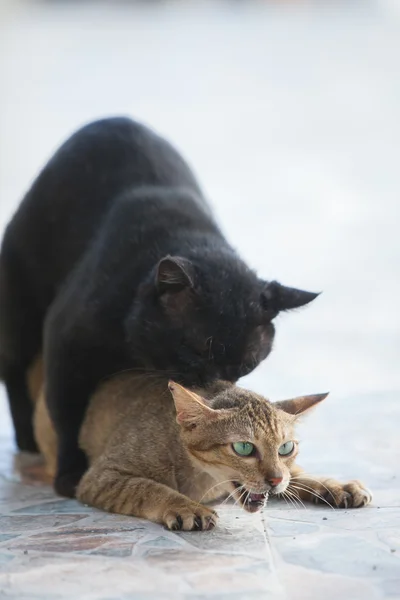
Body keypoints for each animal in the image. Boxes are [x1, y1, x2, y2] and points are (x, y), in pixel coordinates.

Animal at [0, 117, 318, 496]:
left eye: (247, 365)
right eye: (195, 351)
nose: (217, 385)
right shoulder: (66, 349)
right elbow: (67, 418)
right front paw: (70, 474)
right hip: (20, 316)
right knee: (16, 376)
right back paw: (28, 443)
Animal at [28, 358, 372, 532]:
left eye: (286, 448)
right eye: (244, 448)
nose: (274, 480)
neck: (202, 479)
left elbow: (299, 475)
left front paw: (334, 485)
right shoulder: (101, 476)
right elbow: (147, 488)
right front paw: (185, 506)